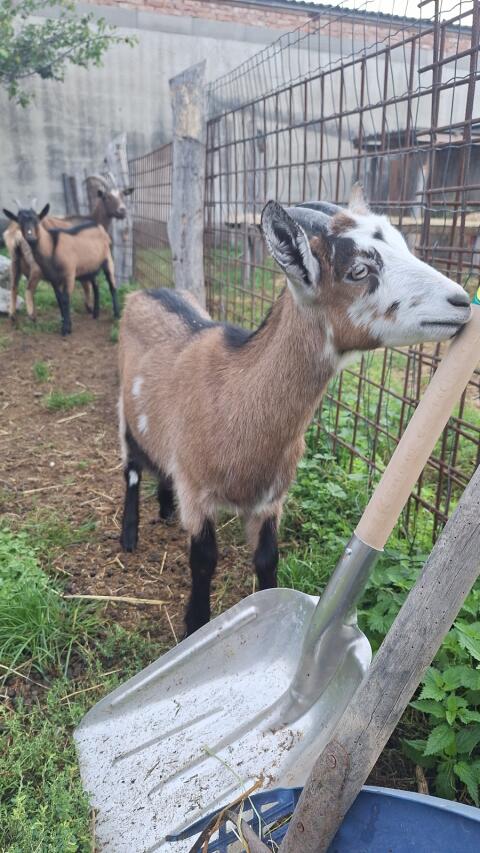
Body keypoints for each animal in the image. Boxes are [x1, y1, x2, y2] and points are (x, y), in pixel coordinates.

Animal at [2, 204, 116, 336]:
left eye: (37, 220)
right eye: (20, 221)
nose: (30, 237)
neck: (51, 246)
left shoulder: (69, 274)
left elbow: (65, 299)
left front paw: (66, 327)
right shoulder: (55, 278)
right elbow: (60, 298)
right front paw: (66, 324)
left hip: (106, 259)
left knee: (110, 285)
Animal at [3, 174, 132, 322]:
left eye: (122, 195)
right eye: (106, 197)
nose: (122, 211)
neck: (93, 220)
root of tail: (15, 232)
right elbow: (86, 284)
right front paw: (89, 307)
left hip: (14, 260)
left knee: (13, 286)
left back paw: (12, 315)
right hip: (36, 265)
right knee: (29, 289)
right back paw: (32, 316)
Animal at [117, 187, 471, 635]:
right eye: (358, 270)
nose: (462, 301)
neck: (232, 397)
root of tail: (145, 292)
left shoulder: (272, 499)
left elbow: (267, 558)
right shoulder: (197, 492)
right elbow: (204, 560)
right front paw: (196, 624)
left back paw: (165, 508)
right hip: (125, 410)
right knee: (131, 468)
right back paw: (129, 535)